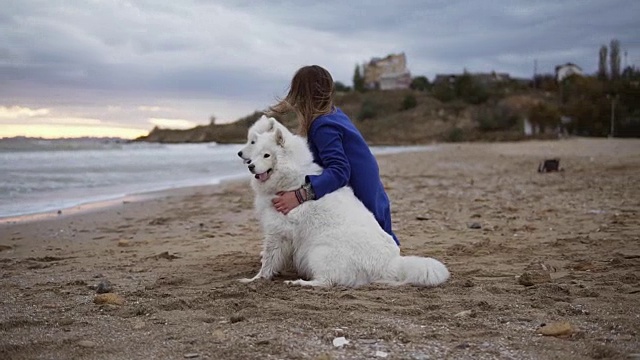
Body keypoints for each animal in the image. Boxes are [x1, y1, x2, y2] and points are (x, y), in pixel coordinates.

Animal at [240, 125, 450, 288]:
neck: (290, 178)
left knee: (327, 281)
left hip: (319, 252)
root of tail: (391, 264)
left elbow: (268, 260)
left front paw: (255, 279)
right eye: (255, 154)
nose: (250, 166)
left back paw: (299, 282)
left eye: (267, 155)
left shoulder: (277, 231)